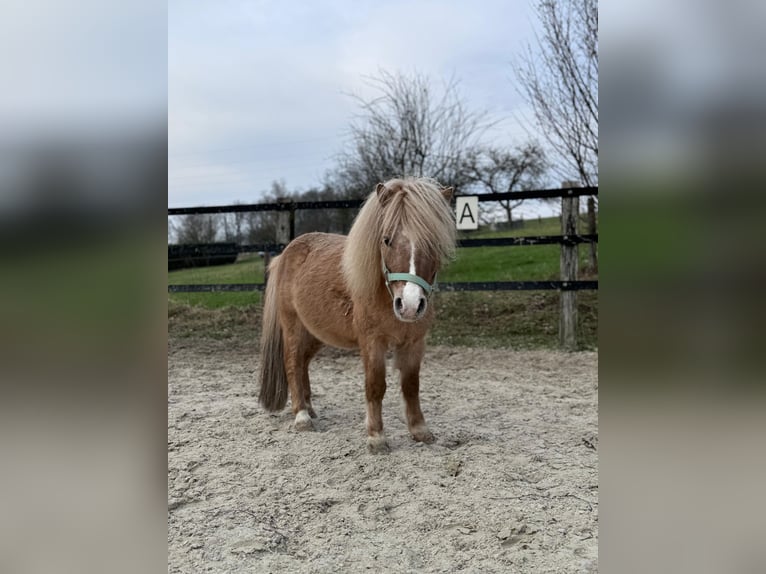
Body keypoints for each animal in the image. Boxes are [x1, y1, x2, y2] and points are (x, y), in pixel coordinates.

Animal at [260, 177, 460, 454]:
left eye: (434, 242)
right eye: (386, 240)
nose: (410, 305)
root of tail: (285, 254)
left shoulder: (414, 343)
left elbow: (411, 385)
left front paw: (420, 431)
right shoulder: (372, 343)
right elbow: (376, 386)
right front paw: (376, 437)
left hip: (316, 334)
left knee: (302, 364)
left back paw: (310, 409)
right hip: (293, 328)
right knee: (292, 363)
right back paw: (301, 416)